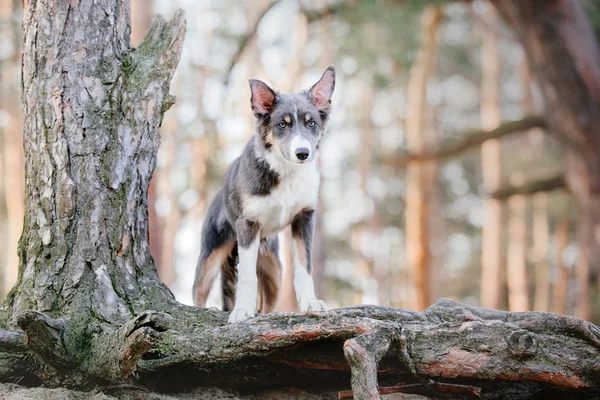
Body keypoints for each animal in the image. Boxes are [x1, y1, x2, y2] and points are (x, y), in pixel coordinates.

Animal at [192, 65, 336, 322]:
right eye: (282, 125)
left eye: (311, 123)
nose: (303, 153)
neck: (286, 172)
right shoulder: (248, 224)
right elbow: (248, 278)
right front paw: (241, 310)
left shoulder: (304, 218)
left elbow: (304, 266)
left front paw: (310, 302)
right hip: (210, 254)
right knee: (199, 292)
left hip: (274, 271)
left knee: (267, 304)